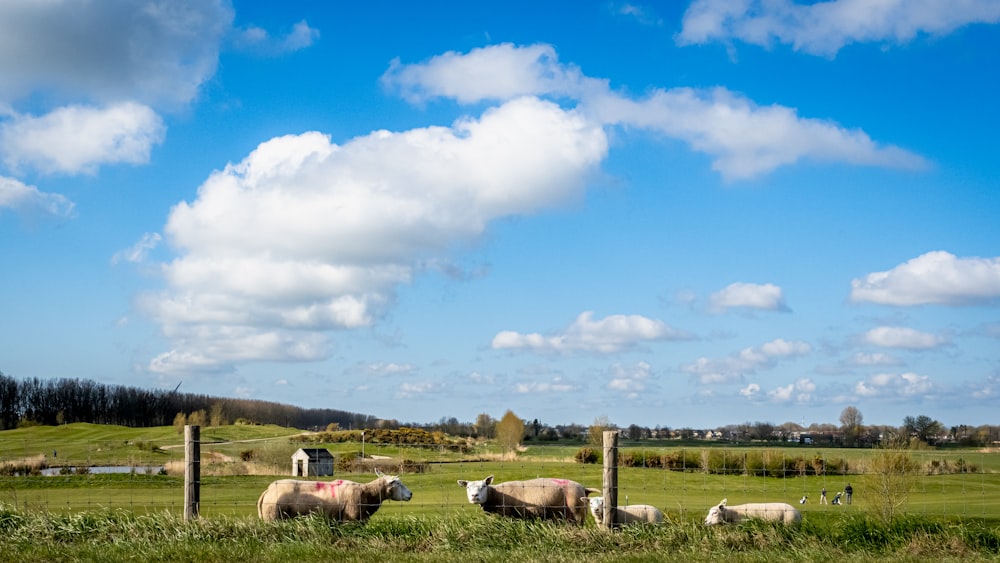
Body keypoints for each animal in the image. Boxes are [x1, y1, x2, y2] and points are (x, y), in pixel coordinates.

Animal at [262, 468, 414, 524]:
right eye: (398, 483)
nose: (411, 494)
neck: (368, 493)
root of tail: (268, 490)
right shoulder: (351, 519)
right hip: (273, 518)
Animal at [456, 476, 600, 524]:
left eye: (483, 486)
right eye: (468, 487)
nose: (474, 496)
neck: (494, 494)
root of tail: (583, 488)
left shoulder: (506, 514)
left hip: (577, 512)